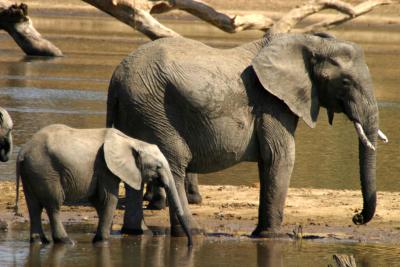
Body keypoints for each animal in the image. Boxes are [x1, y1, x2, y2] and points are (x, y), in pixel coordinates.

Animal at [17, 124, 194, 246]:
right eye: (158, 166)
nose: (190, 244)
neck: (132, 141)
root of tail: (23, 152)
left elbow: (98, 200)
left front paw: (100, 237)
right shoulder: (105, 166)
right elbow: (109, 199)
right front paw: (103, 241)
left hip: (32, 171)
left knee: (33, 205)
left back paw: (40, 241)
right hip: (46, 171)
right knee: (53, 204)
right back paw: (66, 241)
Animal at [107, 32, 388, 238]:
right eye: (346, 82)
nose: (357, 216)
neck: (308, 41)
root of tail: (116, 81)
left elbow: (270, 160)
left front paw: (263, 234)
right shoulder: (272, 102)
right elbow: (280, 157)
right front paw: (272, 237)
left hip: (136, 110)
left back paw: (136, 233)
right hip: (153, 110)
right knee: (174, 162)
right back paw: (194, 233)